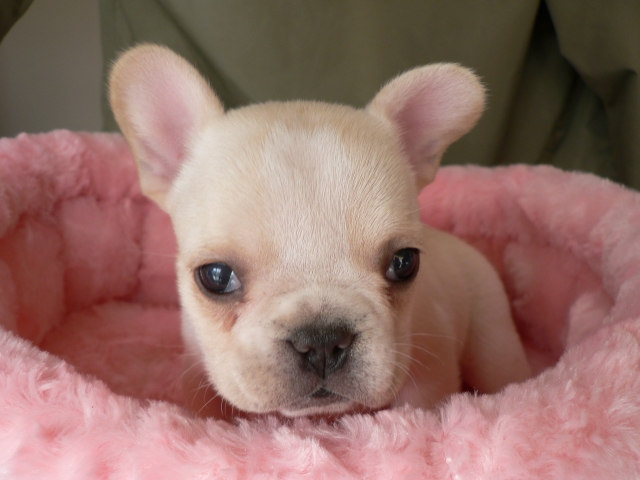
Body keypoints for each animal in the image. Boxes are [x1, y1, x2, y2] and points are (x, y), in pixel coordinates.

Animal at [109, 44, 531, 419]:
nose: (322, 341)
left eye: (404, 263)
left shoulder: (430, 372)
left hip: (492, 340)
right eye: (215, 276)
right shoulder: (197, 368)